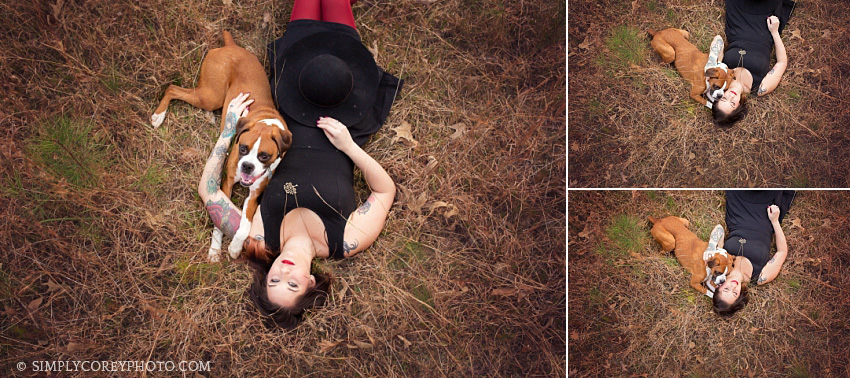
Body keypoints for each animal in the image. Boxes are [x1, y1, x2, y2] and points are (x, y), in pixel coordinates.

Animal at [148, 31, 288, 262]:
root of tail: (231, 46)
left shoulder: (254, 194)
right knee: (173, 88)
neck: (265, 122)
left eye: (264, 156)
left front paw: (235, 247)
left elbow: (245, 224)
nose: (247, 166)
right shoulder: (227, 184)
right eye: (242, 148)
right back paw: (159, 115)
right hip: (210, 95)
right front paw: (215, 250)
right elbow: (220, 221)